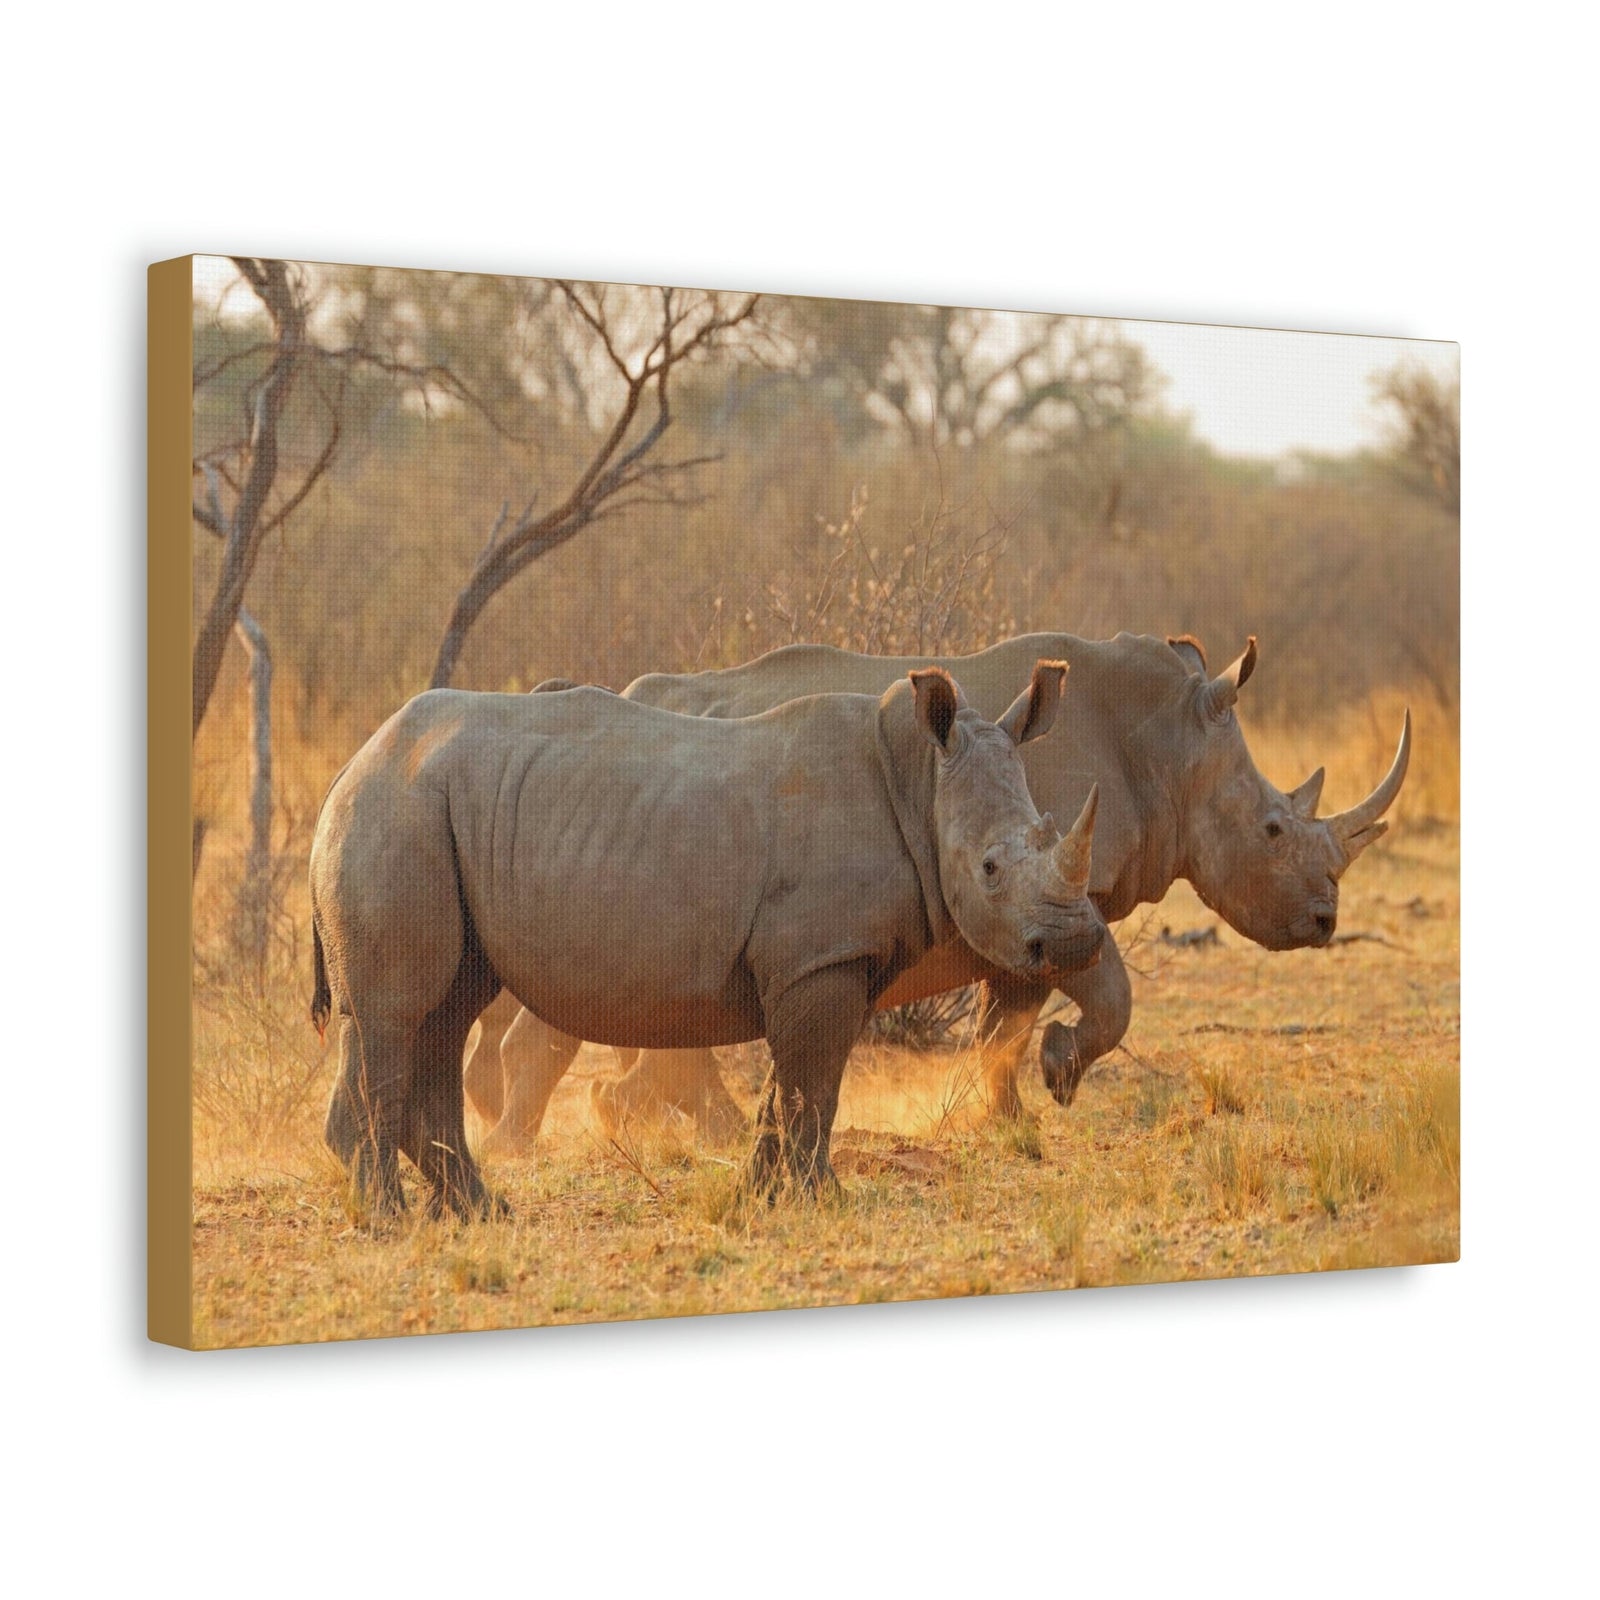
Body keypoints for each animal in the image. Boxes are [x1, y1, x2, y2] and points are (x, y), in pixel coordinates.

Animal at [309, 662, 1104, 1216]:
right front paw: (823, 1204)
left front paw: (761, 1200)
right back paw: (390, 1221)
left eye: (1050, 832)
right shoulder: (821, 960)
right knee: (394, 1014)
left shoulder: (828, 963)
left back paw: (480, 1215)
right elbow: (812, 1088)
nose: (1072, 945)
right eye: (990, 869)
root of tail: (353, 762)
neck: (918, 782)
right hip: (395, 812)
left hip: (427, 811)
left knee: (445, 1011)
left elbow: (795, 1089)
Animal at [465, 631, 1409, 1148]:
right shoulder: (1062, 896)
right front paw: (1054, 1083)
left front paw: (1002, 1114)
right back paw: (538, 1138)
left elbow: (1006, 1020)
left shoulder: (1033, 905)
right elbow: (1100, 996)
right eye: (1274, 830)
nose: (1324, 919)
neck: (1168, 744)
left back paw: (614, 1119)